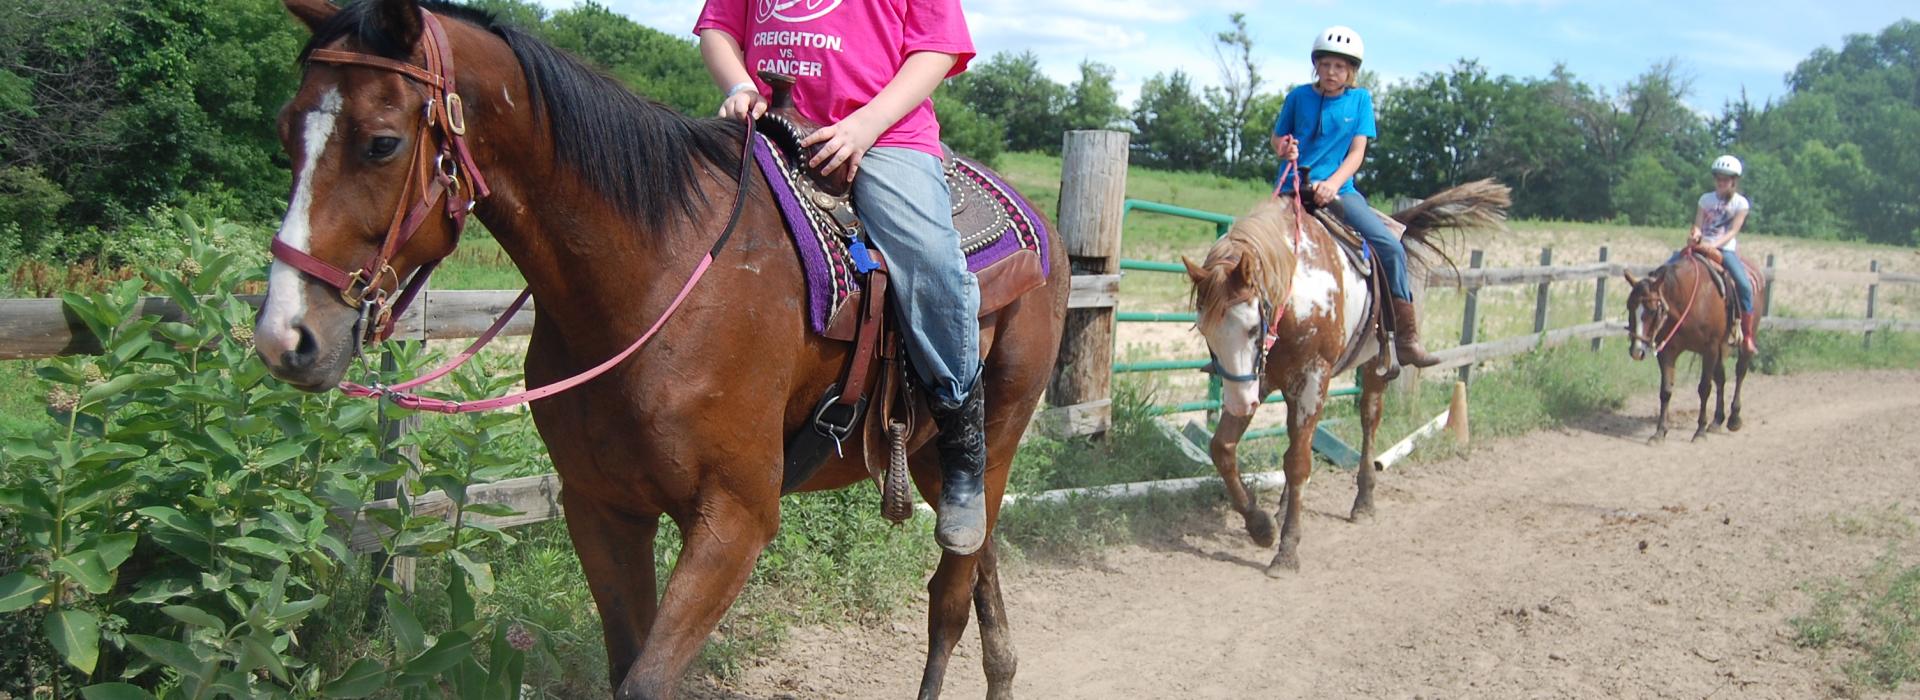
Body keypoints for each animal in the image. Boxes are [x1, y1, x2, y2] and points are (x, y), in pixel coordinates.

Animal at [252, 1, 1066, 697]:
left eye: (382, 142)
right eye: (288, 131)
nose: (286, 337)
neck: (654, 274)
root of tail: (1039, 223)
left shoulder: (735, 520)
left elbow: (648, 679)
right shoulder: (603, 509)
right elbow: (626, 664)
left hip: (992, 440)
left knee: (949, 598)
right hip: (930, 458)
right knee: (979, 563)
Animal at [1184, 181, 1509, 577]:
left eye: (1250, 328)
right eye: (1205, 331)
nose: (1239, 402)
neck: (1300, 291)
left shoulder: (1311, 379)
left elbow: (1298, 463)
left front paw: (1287, 550)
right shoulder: (1258, 379)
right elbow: (1223, 448)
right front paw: (1261, 526)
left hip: (1374, 368)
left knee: (1368, 420)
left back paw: (1363, 500)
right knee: (1295, 436)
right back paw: (1283, 506)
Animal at [1623, 247, 1763, 443]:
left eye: (1652, 310)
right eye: (1629, 306)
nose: (1637, 351)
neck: (1690, 298)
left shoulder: (1709, 348)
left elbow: (1704, 388)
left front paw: (1700, 431)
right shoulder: (1668, 351)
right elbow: (1665, 391)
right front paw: (1659, 433)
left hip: (1742, 340)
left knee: (1740, 372)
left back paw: (1734, 418)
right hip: (1720, 348)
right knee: (1721, 378)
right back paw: (1717, 421)